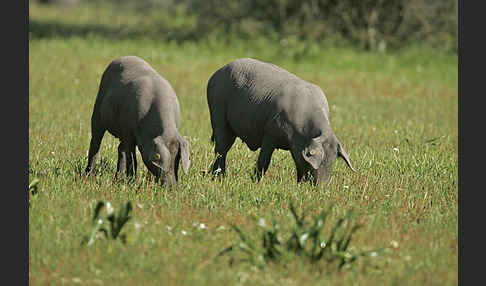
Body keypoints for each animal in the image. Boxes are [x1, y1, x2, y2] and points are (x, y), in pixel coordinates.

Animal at [84, 55, 191, 185]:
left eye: (177, 160)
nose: (172, 187)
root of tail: (122, 57)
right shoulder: (128, 131)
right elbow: (132, 158)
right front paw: (131, 181)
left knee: (120, 148)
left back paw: (118, 178)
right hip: (98, 111)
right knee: (96, 142)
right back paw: (89, 174)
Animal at [207, 57, 356, 185]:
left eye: (332, 162)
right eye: (321, 161)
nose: (322, 187)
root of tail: (216, 74)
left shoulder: (296, 147)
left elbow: (298, 164)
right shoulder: (270, 133)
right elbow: (264, 161)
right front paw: (255, 183)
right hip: (217, 112)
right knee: (220, 148)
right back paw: (219, 178)